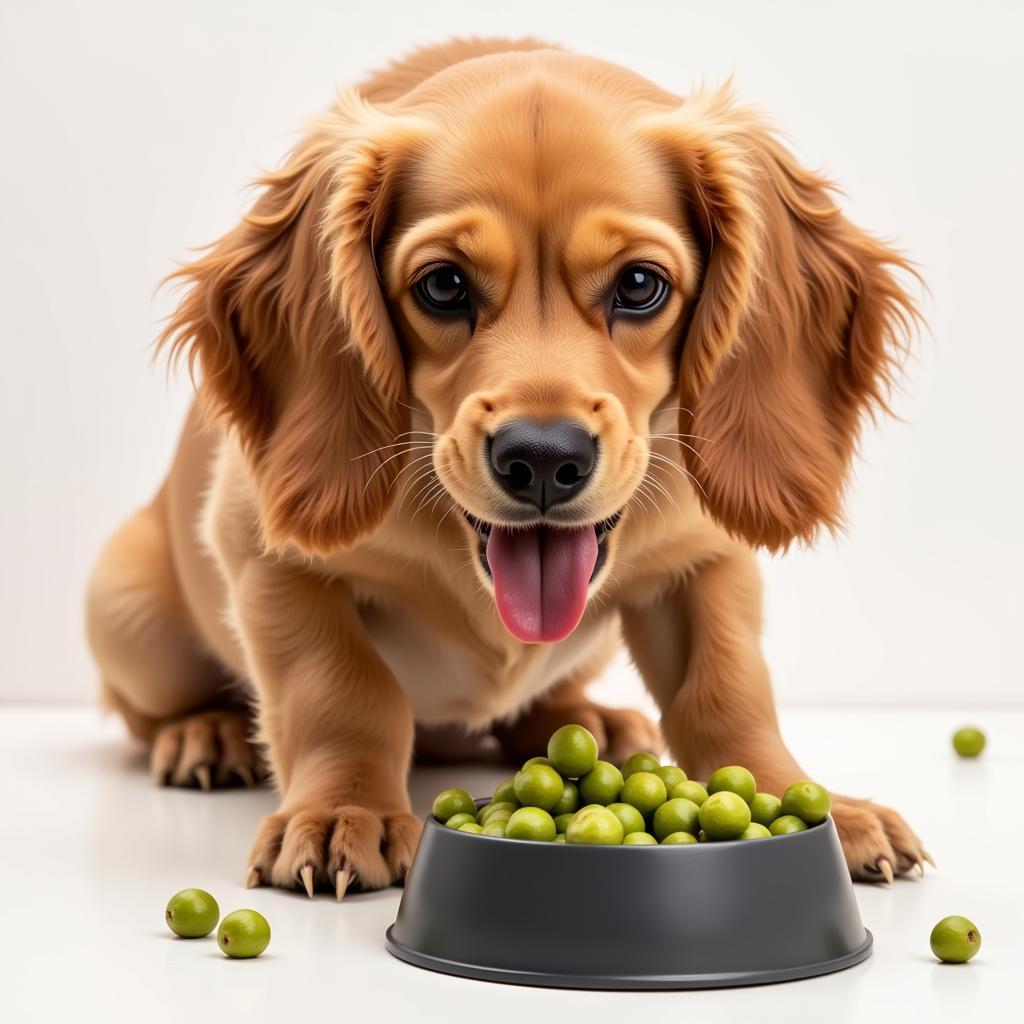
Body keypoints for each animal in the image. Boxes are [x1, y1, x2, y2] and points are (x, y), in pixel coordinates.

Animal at [86, 36, 929, 892]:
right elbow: (340, 692)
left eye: (640, 284)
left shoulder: (707, 559)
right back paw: (207, 732)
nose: (544, 460)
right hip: (128, 611)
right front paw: (341, 810)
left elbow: (728, 689)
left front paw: (810, 802)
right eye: (443, 284)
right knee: (147, 707)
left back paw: (585, 718)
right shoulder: (267, 557)